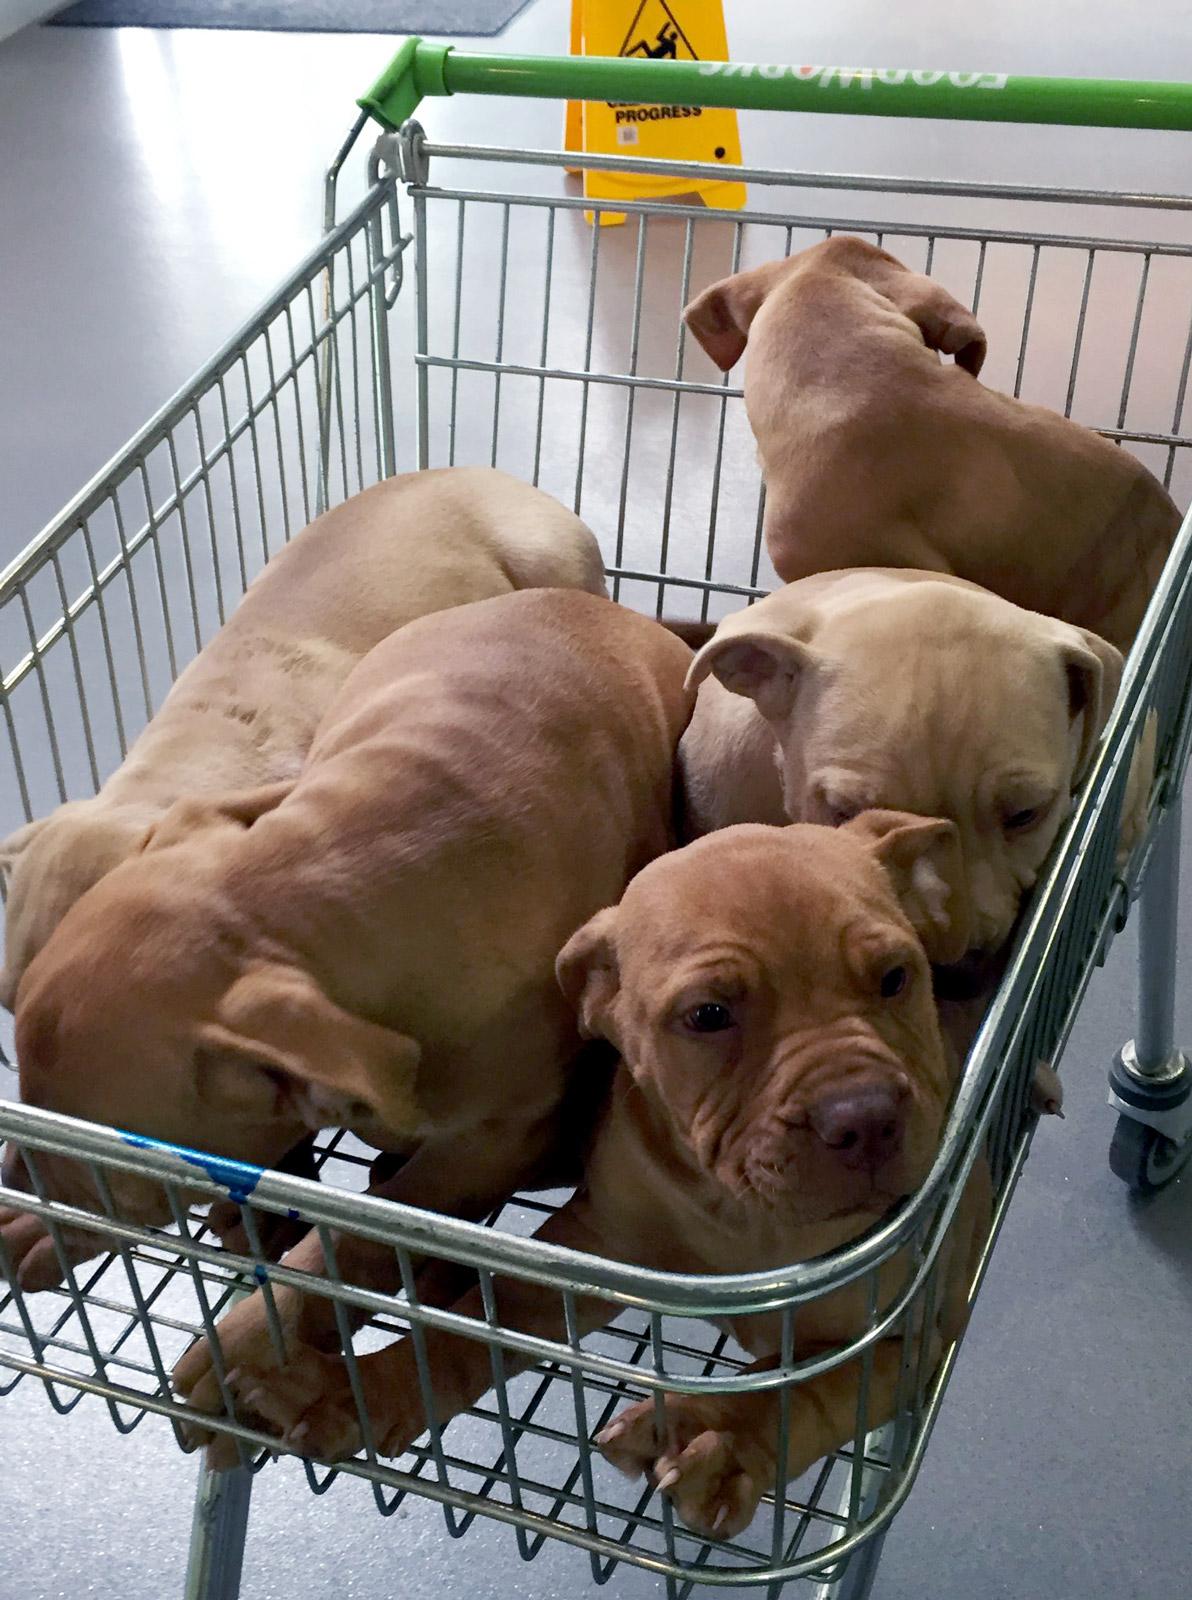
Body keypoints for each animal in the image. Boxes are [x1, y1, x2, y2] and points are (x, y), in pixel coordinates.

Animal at [195, 812, 992, 1536]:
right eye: (708, 1015)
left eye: (896, 978)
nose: (864, 1118)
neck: (742, 1223)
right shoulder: (582, 1254)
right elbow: (468, 1334)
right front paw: (358, 1392)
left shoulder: (915, 1333)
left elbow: (816, 1387)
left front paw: (726, 1439)